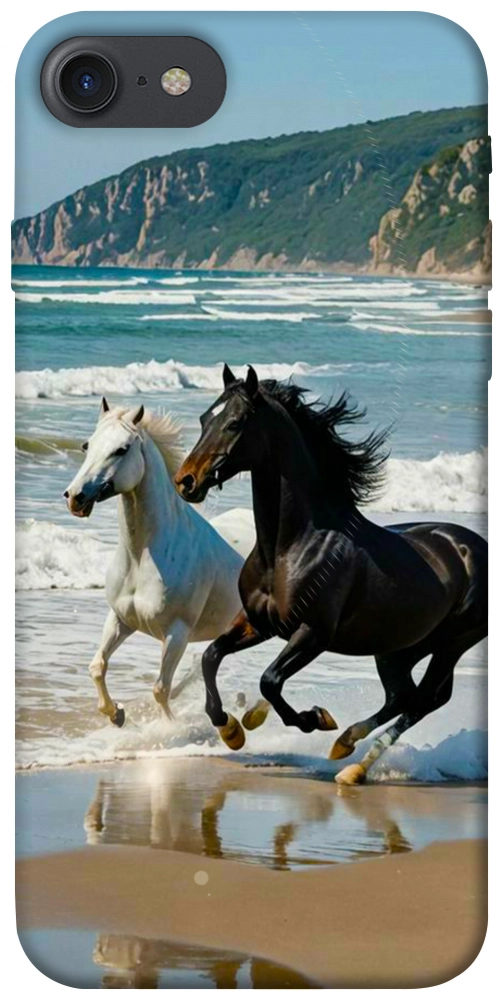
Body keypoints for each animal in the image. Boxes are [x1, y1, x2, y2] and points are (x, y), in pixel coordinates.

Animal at [64, 397, 243, 727]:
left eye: (121, 449)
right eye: (87, 445)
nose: (75, 497)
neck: (142, 558)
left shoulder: (177, 633)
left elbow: (160, 689)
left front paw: (169, 729)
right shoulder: (121, 619)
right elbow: (97, 666)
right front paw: (116, 714)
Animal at [174, 365, 488, 784]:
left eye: (235, 422)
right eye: (205, 418)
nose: (186, 480)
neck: (290, 548)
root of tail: (476, 547)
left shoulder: (314, 633)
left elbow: (270, 681)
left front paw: (314, 719)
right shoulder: (259, 623)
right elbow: (210, 657)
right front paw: (232, 730)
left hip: (453, 642)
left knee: (423, 699)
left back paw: (352, 764)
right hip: (399, 647)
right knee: (403, 696)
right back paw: (346, 747)